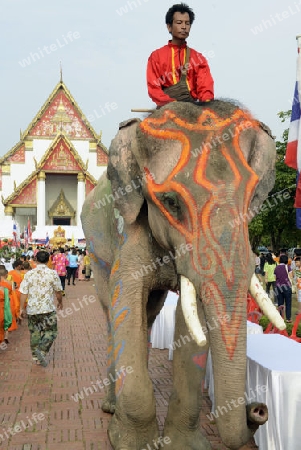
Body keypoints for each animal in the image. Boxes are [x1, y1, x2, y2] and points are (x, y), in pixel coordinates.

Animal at [81, 102, 284, 450]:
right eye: (171, 202)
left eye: (252, 200)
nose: (258, 409)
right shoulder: (131, 229)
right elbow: (127, 299)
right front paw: (130, 443)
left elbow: (194, 317)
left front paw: (185, 445)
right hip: (97, 254)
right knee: (111, 313)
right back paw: (110, 406)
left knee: (149, 314)